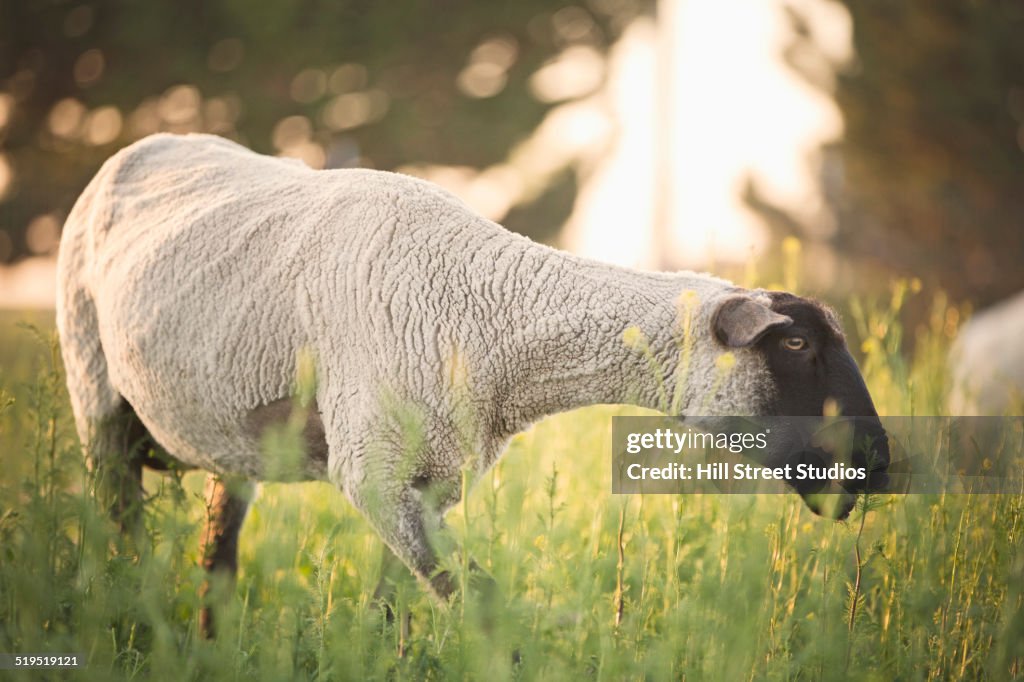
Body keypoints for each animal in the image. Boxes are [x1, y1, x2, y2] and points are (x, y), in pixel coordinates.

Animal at [56, 134, 888, 630]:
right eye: (797, 342)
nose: (876, 464)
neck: (489, 311)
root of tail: (145, 143)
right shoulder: (375, 471)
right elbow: (483, 606)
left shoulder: (425, 480)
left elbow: (397, 610)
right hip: (95, 388)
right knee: (122, 530)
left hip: (232, 440)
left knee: (216, 562)